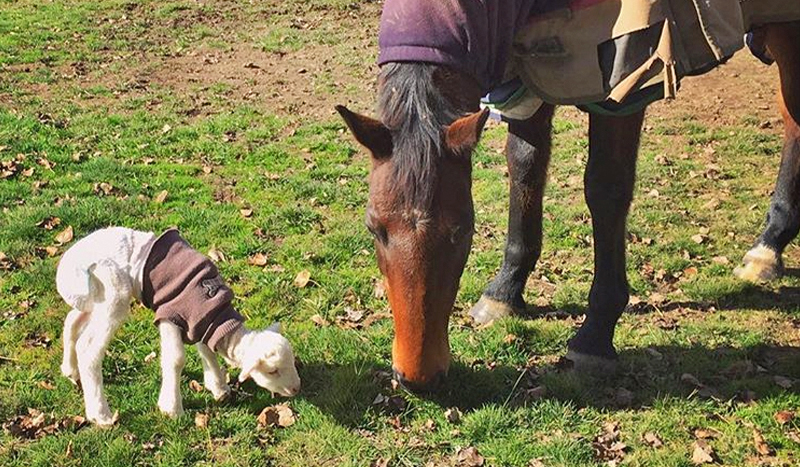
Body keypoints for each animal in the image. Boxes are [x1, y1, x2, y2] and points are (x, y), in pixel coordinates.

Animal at [55, 227, 300, 428]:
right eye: (272, 371)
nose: (296, 389)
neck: (216, 312)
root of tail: (67, 266)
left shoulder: (201, 321)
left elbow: (206, 350)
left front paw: (218, 387)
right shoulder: (169, 315)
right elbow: (176, 359)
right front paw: (171, 408)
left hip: (95, 300)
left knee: (72, 321)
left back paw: (70, 370)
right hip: (112, 291)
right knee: (88, 349)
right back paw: (101, 414)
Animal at [336, 0, 800, 392]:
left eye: (462, 231)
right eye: (374, 228)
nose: (418, 378)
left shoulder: (623, 80)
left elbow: (606, 189)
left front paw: (595, 335)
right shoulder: (521, 74)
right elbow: (525, 167)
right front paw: (505, 291)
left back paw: (768, 246)